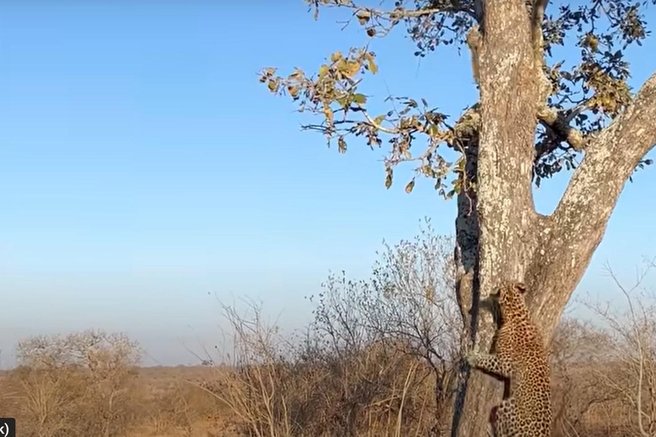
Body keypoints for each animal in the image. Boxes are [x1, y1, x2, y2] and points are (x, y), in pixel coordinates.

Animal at [466, 280, 552, 437]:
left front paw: (471, 356)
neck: (517, 312)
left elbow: (486, 359)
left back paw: (490, 430)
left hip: (508, 405)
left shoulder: (504, 363)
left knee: (502, 431)